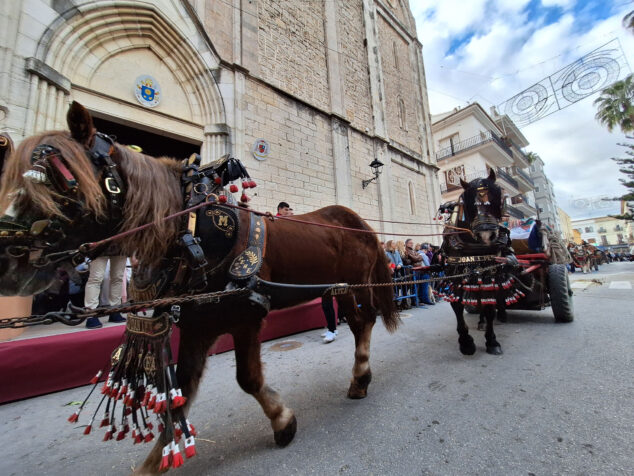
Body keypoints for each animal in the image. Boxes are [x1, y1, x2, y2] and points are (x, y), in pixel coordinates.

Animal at [0, 102, 396, 474]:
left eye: (64, 182)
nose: (8, 261)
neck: (192, 233)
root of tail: (360, 223)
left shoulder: (245, 316)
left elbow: (247, 379)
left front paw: (283, 422)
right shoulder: (198, 324)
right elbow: (181, 390)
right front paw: (156, 460)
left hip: (358, 285)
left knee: (364, 322)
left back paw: (361, 377)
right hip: (338, 288)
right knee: (358, 322)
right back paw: (359, 378)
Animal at [440, 170, 520, 354]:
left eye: (497, 197)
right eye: (470, 203)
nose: (486, 235)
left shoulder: (488, 270)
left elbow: (489, 306)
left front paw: (492, 341)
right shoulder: (456, 273)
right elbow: (457, 305)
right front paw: (466, 342)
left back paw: (495, 317)